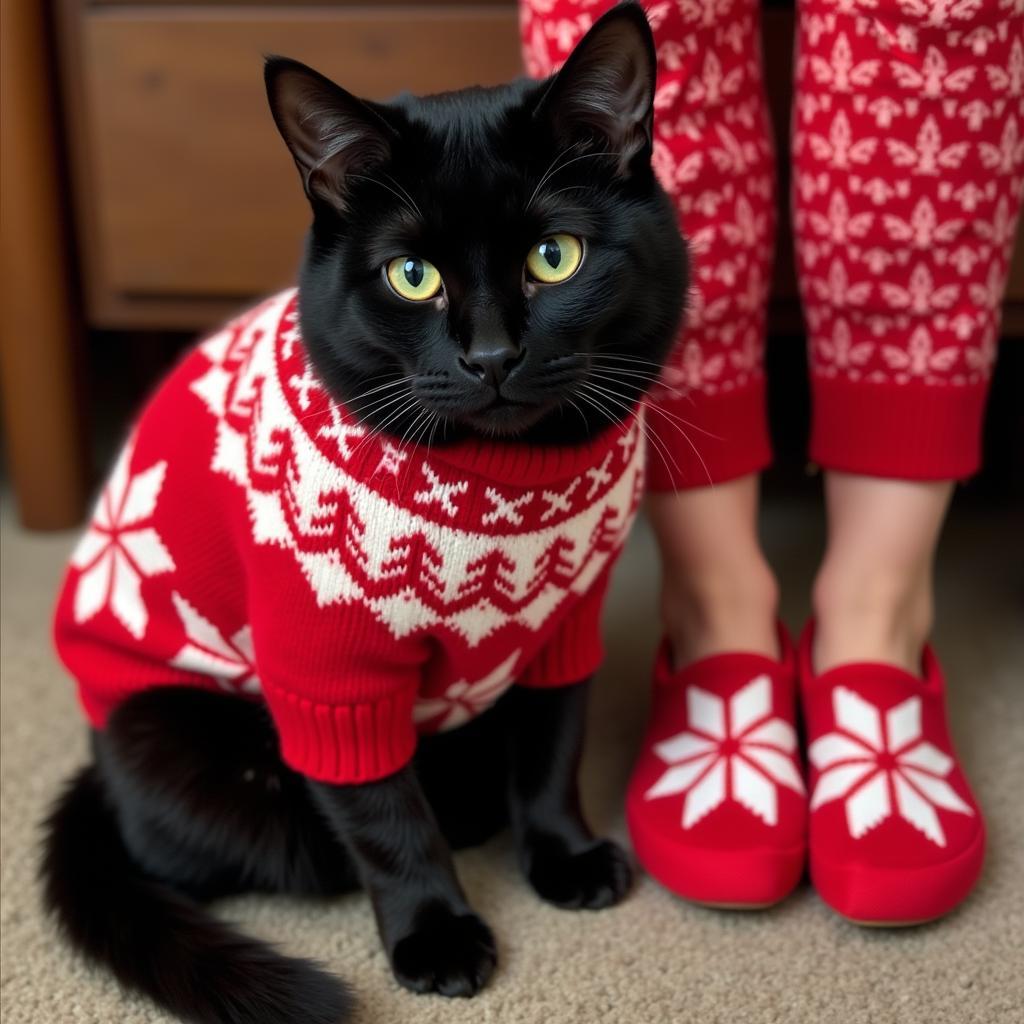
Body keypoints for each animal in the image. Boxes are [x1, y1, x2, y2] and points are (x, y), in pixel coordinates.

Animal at [44, 4, 692, 1019]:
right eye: (412, 275)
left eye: (555, 258)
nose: (491, 354)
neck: (503, 480)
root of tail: (100, 772)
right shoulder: (329, 675)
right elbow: (387, 816)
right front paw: (438, 935)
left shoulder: (563, 625)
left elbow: (553, 746)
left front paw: (563, 856)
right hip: (176, 727)